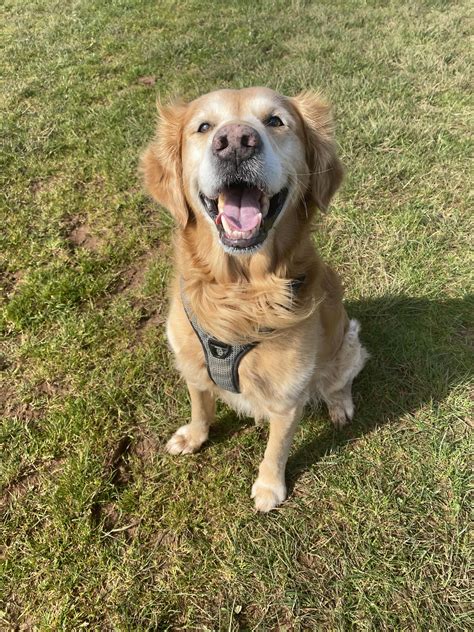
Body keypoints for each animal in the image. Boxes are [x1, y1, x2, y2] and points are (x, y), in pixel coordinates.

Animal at [139, 86, 368, 512]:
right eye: (204, 127)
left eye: (275, 121)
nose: (235, 142)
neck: (240, 292)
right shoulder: (192, 366)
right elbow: (200, 405)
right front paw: (194, 435)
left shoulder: (287, 398)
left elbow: (275, 450)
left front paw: (269, 487)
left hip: (348, 340)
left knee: (340, 380)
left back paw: (339, 406)